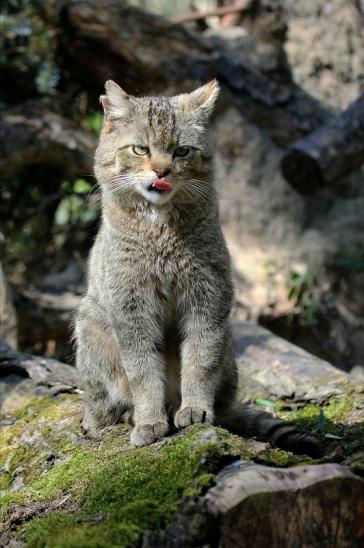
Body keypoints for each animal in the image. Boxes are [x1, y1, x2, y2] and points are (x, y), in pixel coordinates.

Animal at [74, 80, 322, 458]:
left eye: (181, 152)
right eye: (141, 149)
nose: (161, 171)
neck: (161, 231)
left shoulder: (207, 298)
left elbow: (199, 360)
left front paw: (194, 408)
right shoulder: (132, 309)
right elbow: (143, 372)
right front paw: (149, 420)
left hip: (227, 345)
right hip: (90, 328)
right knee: (101, 405)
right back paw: (118, 418)